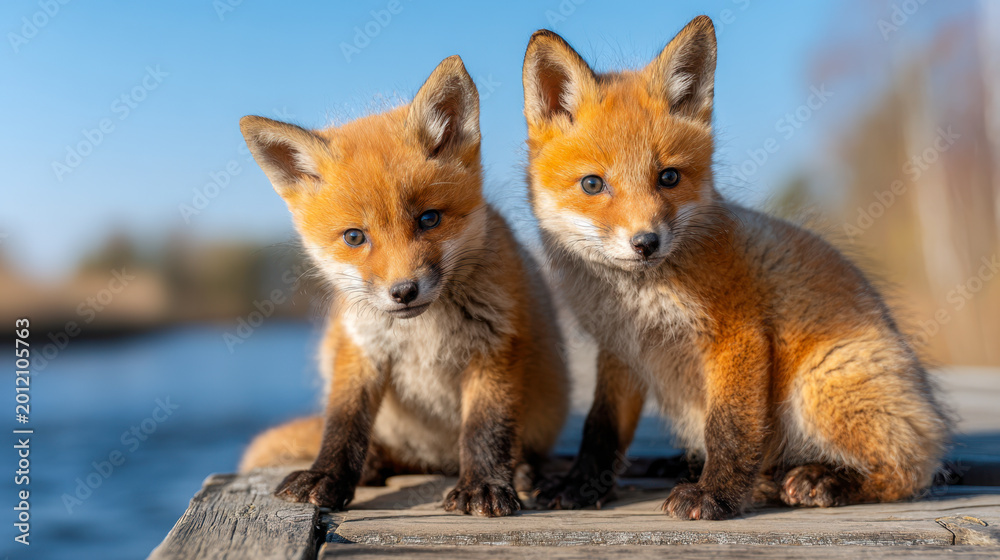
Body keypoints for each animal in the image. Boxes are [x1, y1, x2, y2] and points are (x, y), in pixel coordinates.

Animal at [237, 55, 568, 517]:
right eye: (354, 237)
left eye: (429, 219)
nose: (404, 291)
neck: (421, 334)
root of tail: (436, 460)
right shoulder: (362, 349)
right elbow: (343, 424)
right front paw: (326, 476)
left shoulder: (496, 345)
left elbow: (486, 428)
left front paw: (484, 484)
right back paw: (374, 463)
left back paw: (521, 471)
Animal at [522, 16, 951, 520]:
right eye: (593, 184)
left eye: (669, 177)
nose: (646, 243)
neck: (638, 302)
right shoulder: (621, 352)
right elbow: (600, 430)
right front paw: (581, 486)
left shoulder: (738, 336)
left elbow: (729, 428)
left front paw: (715, 495)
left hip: (821, 385)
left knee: (910, 471)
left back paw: (824, 480)